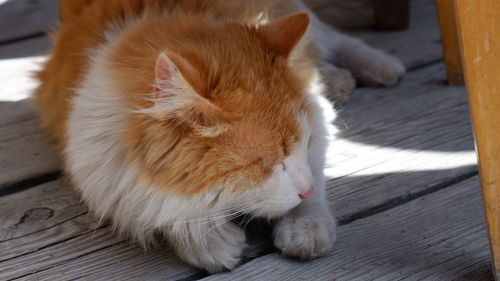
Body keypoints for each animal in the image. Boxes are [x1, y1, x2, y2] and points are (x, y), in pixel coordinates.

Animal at [34, 0, 402, 272]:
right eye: (269, 163)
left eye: (304, 143)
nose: (305, 188)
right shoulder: (95, 153)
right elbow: (155, 203)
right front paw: (208, 241)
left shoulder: (318, 117)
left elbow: (314, 176)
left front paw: (306, 226)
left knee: (332, 36)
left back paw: (376, 67)